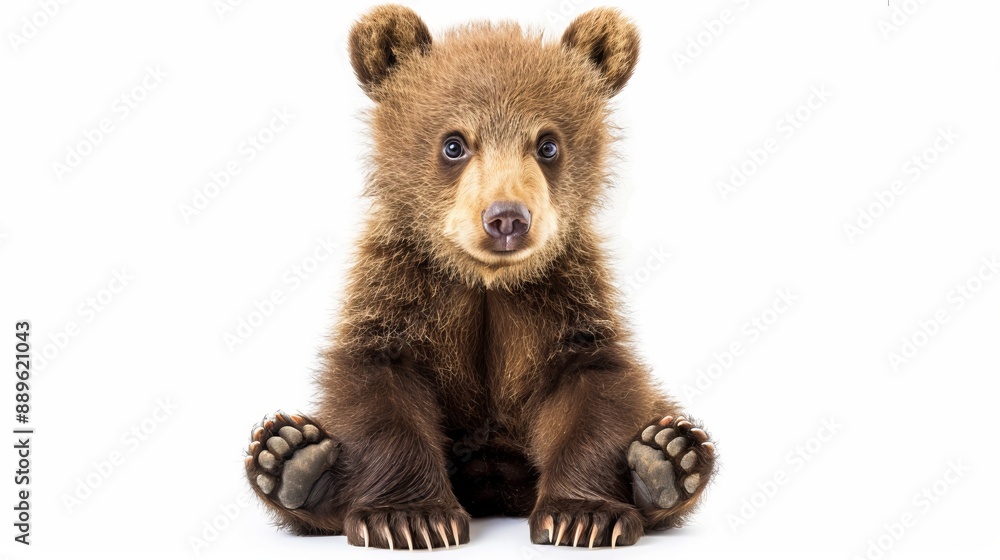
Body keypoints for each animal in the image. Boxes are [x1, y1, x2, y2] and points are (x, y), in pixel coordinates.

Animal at [244, 4, 716, 549]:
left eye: (547, 145)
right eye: (454, 144)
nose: (507, 217)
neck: (487, 282)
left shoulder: (565, 297)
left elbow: (592, 388)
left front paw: (584, 515)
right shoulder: (400, 287)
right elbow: (380, 387)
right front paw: (412, 518)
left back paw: (667, 458)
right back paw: (293, 460)